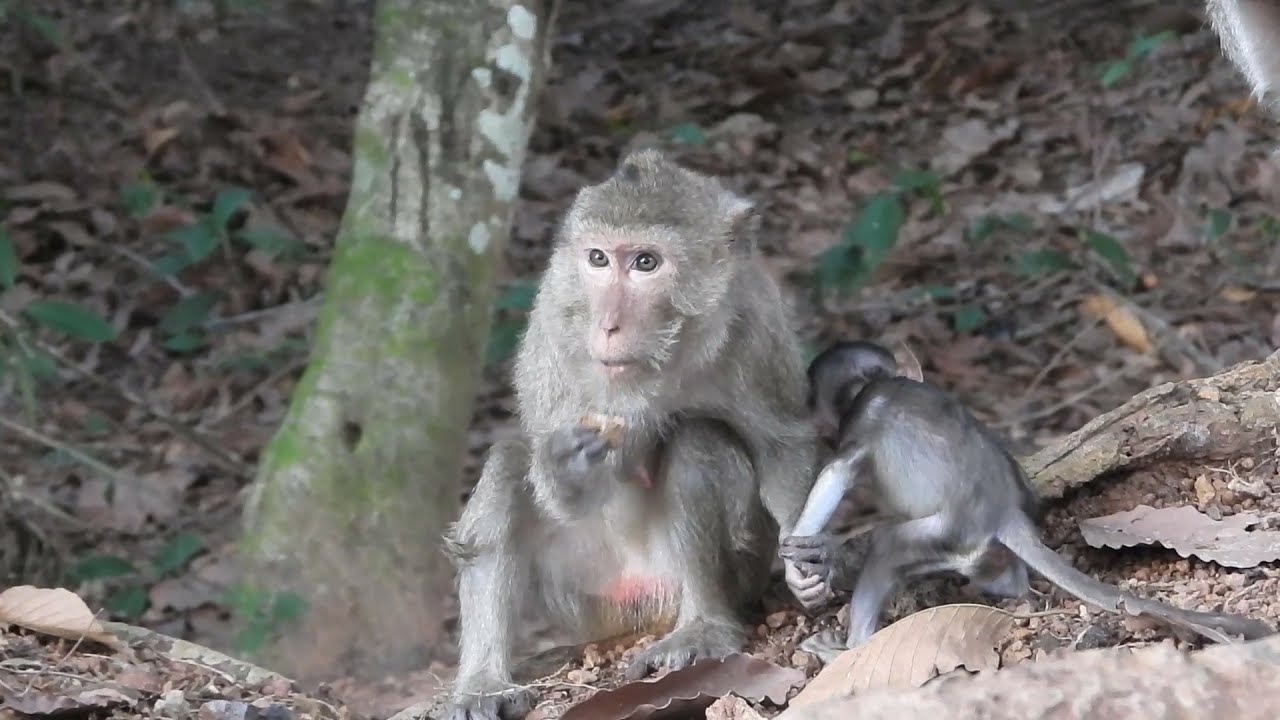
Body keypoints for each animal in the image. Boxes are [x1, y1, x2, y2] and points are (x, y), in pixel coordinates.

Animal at [441, 150, 819, 720]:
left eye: (645, 263)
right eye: (598, 259)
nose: (609, 325)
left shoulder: (755, 319)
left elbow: (782, 445)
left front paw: (812, 563)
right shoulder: (555, 314)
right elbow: (546, 466)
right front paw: (568, 469)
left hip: (717, 575)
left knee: (698, 442)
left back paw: (702, 626)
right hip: (581, 595)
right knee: (508, 465)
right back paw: (484, 683)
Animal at [780, 340, 1274, 660]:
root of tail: (1005, 512)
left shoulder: (860, 426)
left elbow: (838, 472)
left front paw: (807, 554)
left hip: (948, 534)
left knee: (889, 546)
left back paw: (849, 649)